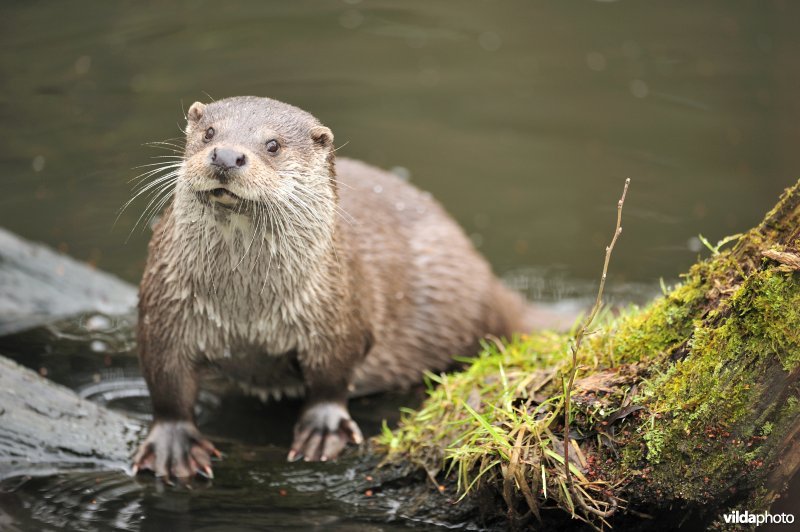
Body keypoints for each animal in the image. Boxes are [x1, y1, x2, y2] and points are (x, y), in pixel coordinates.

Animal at [132, 96, 558, 479]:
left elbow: (332, 377)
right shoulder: (164, 310)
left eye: (273, 145)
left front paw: (323, 430)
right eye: (209, 133)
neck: (246, 308)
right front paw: (174, 445)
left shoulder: (336, 312)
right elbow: (167, 384)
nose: (225, 155)